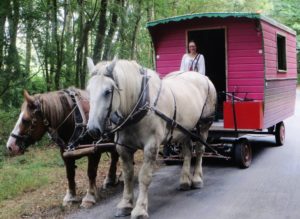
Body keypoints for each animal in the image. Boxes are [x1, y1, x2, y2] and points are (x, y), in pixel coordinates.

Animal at [85, 58, 217, 219]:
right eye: (88, 91)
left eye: (107, 92)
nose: (92, 129)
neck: (140, 104)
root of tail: (203, 77)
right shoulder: (123, 147)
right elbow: (128, 175)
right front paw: (125, 204)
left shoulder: (151, 145)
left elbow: (144, 176)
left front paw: (140, 208)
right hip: (184, 129)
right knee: (187, 152)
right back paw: (185, 181)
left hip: (203, 125)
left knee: (199, 152)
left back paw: (197, 178)